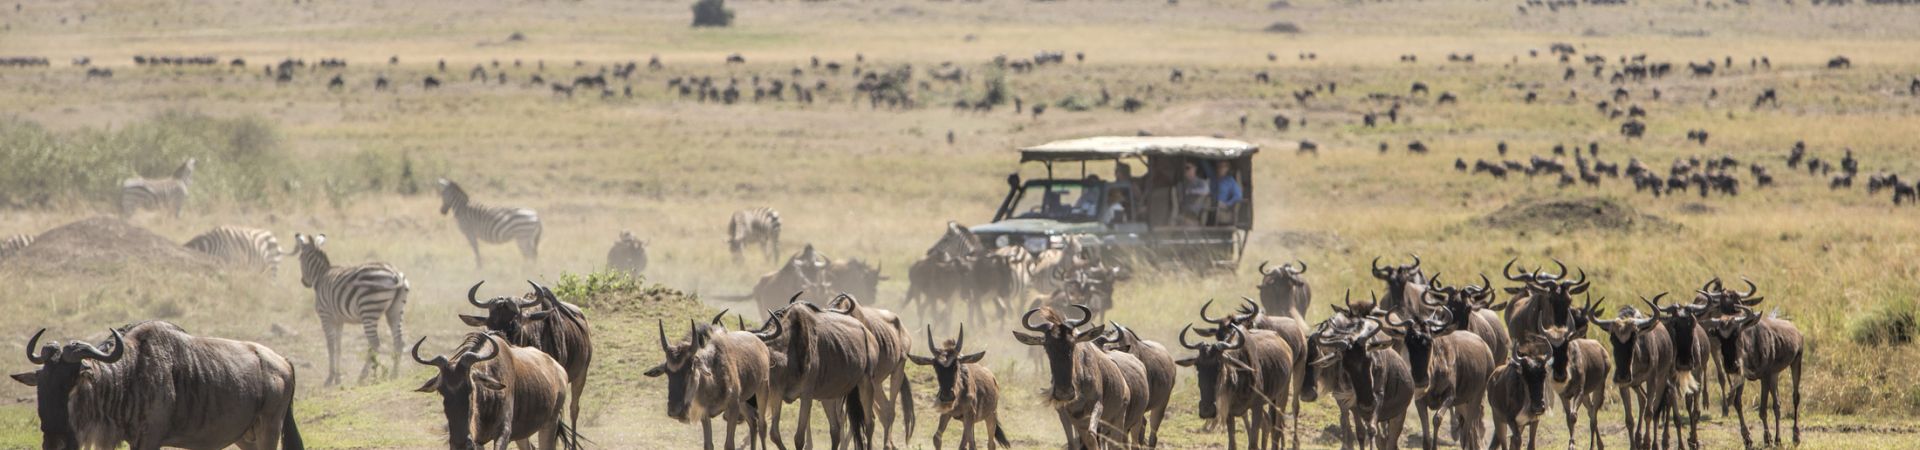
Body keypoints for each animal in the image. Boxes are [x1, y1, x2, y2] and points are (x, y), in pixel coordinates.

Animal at [291, 233, 408, 384]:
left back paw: (361, 378)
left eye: (300, 258)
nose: (304, 282)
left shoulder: (325, 316)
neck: (321, 275)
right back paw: (394, 375)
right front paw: (337, 378)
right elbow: (339, 346)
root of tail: (395, 274)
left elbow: (331, 346)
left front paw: (330, 378)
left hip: (369, 308)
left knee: (375, 343)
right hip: (395, 310)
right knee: (399, 341)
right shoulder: (339, 320)